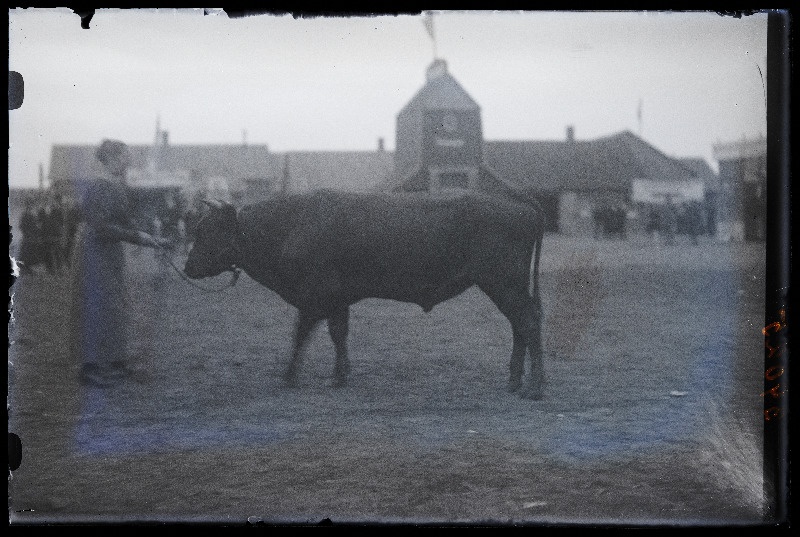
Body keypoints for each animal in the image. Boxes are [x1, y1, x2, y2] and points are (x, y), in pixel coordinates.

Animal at [182, 188, 548, 398]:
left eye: (206, 230)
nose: (187, 267)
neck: (293, 224)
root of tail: (518, 201)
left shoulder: (315, 298)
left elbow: (301, 333)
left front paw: (290, 376)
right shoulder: (338, 301)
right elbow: (338, 333)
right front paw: (340, 375)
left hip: (503, 285)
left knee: (527, 322)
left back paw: (534, 387)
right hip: (507, 288)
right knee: (521, 325)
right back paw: (515, 382)